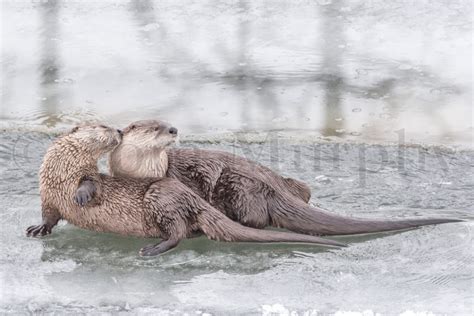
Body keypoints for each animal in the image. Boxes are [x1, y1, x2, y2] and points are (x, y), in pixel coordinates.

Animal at [25, 123, 348, 256]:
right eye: (103, 127)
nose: (116, 130)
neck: (62, 172)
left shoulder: (90, 175)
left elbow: (92, 183)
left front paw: (81, 194)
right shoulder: (48, 197)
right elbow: (48, 216)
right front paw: (38, 229)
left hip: (163, 198)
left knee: (178, 232)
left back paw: (153, 249)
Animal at [107, 119, 460, 236]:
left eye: (167, 124)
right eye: (155, 127)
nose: (173, 129)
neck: (141, 170)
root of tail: (278, 190)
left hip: (239, 187)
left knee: (254, 219)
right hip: (292, 184)